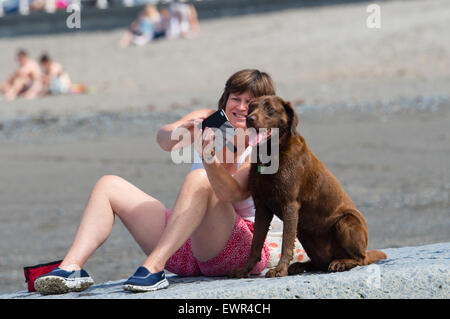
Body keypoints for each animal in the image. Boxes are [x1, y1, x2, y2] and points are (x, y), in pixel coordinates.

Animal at [229, 95, 386, 280]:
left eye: (270, 109)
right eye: (251, 107)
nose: (249, 118)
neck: (270, 155)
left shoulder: (289, 205)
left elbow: (286, 243)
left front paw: (279, 270)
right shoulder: (261, 207)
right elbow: (255, 244)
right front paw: (244, 270)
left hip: (346, 221)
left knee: (361, 259)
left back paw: (340, 263)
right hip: (304, 232)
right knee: (320, 262)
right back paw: (300, 266)